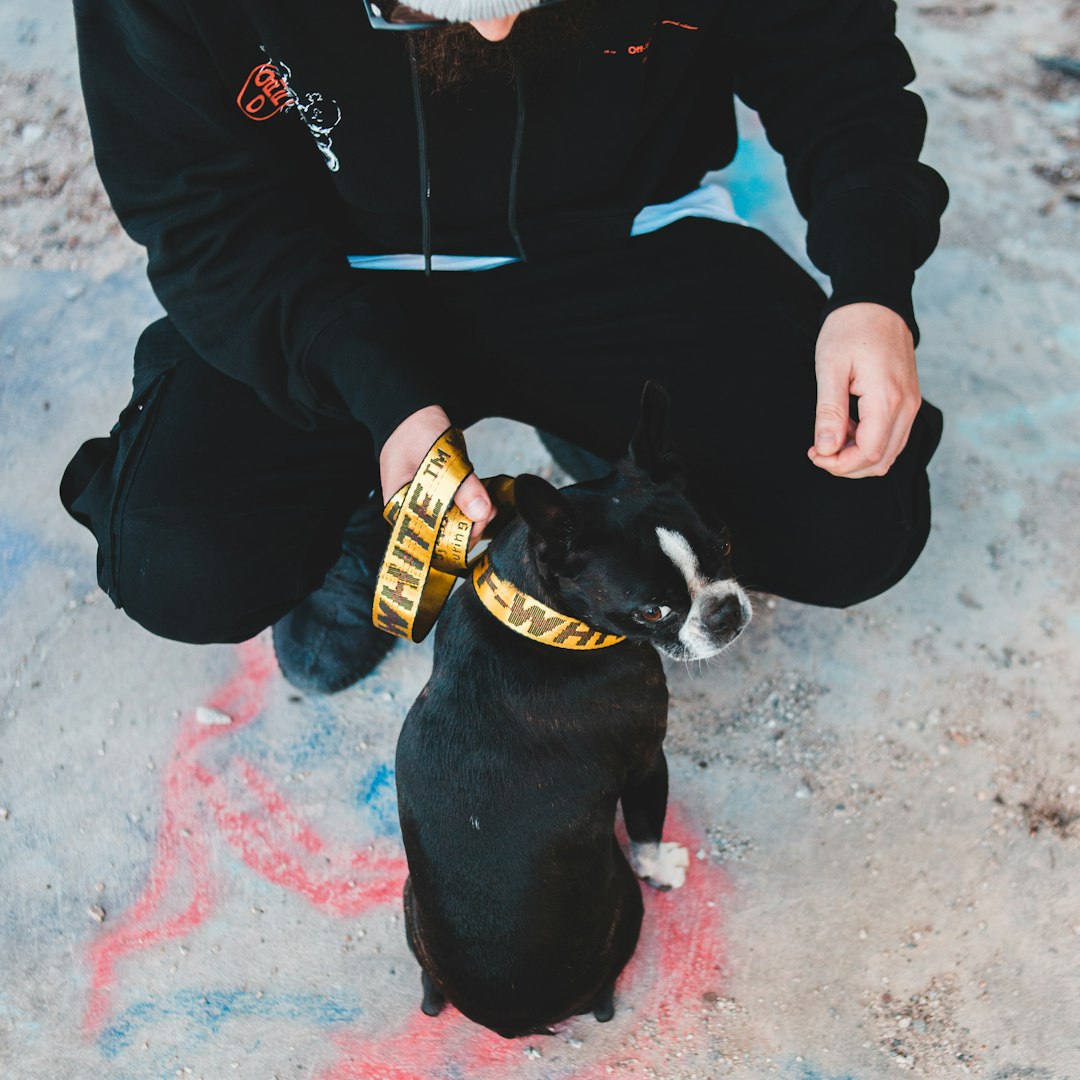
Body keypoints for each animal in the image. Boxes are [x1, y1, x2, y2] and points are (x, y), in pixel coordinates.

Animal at [393, 386, 747, 1036]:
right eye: (653, 611)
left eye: (727, 545)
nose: (725, 612)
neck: (540, 618)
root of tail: (511, 1019)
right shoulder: (646, 759)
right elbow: (647, 826)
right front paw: (662, 864)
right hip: (626, 905)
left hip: (410, 903)